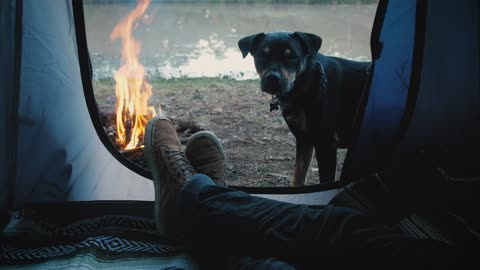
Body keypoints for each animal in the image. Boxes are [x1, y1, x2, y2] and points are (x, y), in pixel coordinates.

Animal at [238, 31, 370, 187]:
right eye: (263, 55)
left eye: (291, 56)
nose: (272, 78)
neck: (306, 82)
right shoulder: (304, 138)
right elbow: (298, 176)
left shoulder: (326, 142)